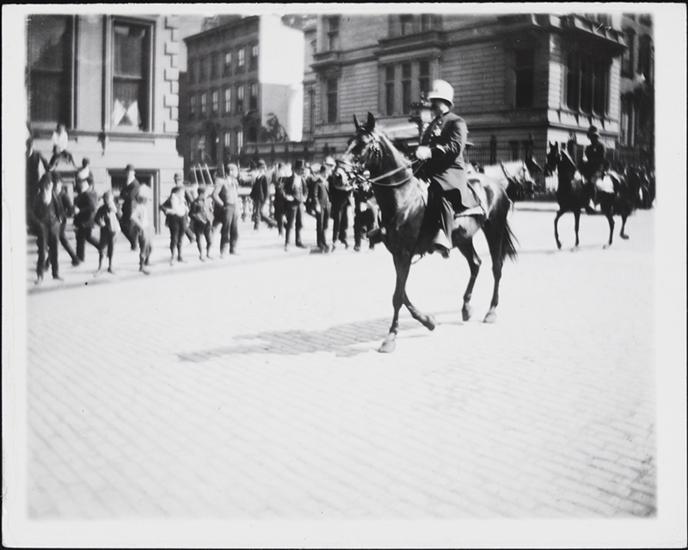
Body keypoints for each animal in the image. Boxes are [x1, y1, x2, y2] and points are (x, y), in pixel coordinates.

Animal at [344, 112, 518, 353]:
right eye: (348, 142)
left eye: (362, 144)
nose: (340, 172)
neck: (403, 197)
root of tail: (497, 184)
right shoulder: (397, 254)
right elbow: (402, 294)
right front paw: (428, 321)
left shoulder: (405, 253)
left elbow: (398, 296)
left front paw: (391, 338)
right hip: (463, 238)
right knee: (475, 264)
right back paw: (466, 308)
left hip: (494, 229)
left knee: (496, 268)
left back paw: (491, 311)